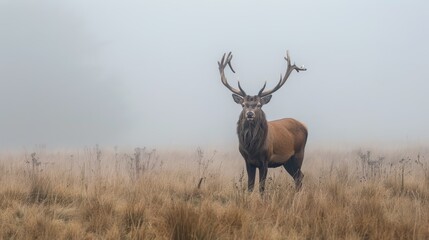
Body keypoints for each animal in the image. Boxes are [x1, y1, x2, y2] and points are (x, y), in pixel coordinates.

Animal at [219, 51, 306, 193]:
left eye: (259, 105)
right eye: (243, 104)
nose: (249, 114)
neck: (252, 148)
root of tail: (305, 126)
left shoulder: (265, 159)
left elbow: (261, 188)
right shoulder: (247, 160)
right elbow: (249, 186)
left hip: (299, 154)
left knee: (299, 176)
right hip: (287, 161)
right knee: (299, 176)